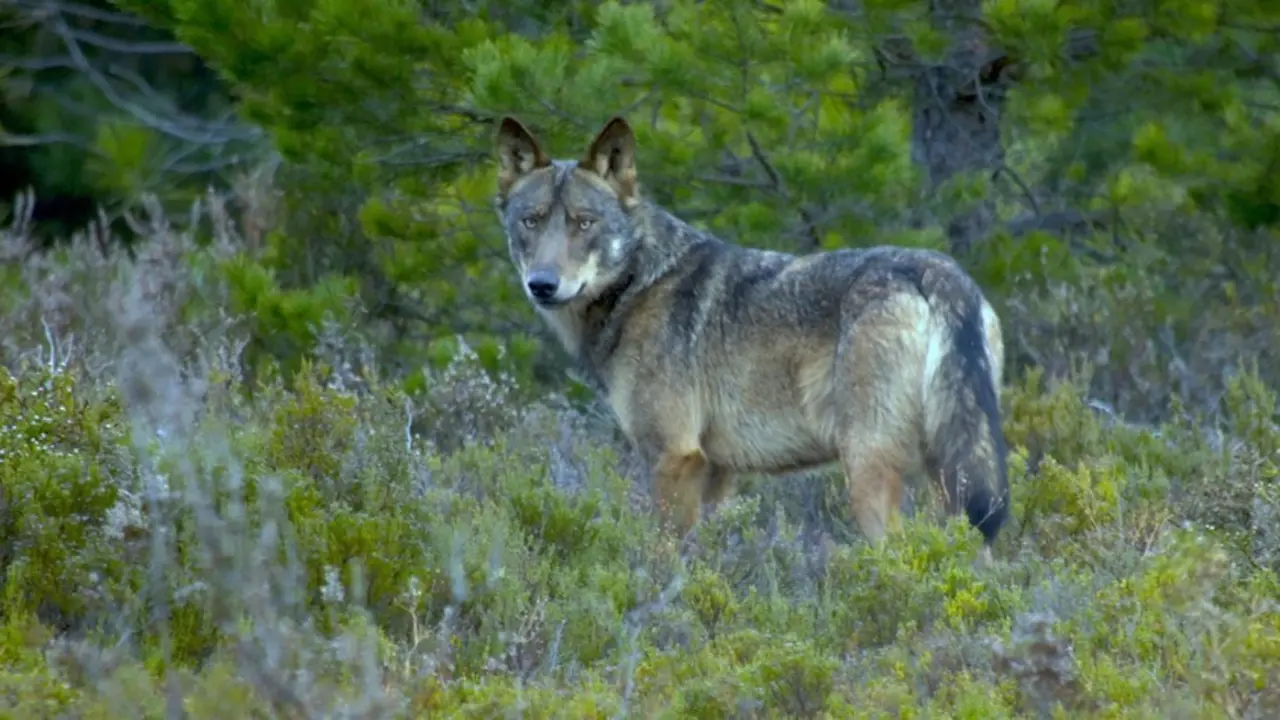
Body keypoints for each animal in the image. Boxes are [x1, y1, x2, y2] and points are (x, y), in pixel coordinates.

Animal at [492, 115, 1011, 553]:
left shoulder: (672, 457)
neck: (640, 284)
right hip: (951, 480)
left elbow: (660, 558)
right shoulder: (717, 473)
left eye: (584, 223)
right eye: (531, 221)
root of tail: (937, 269)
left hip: (869, 472)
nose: (542, 284)